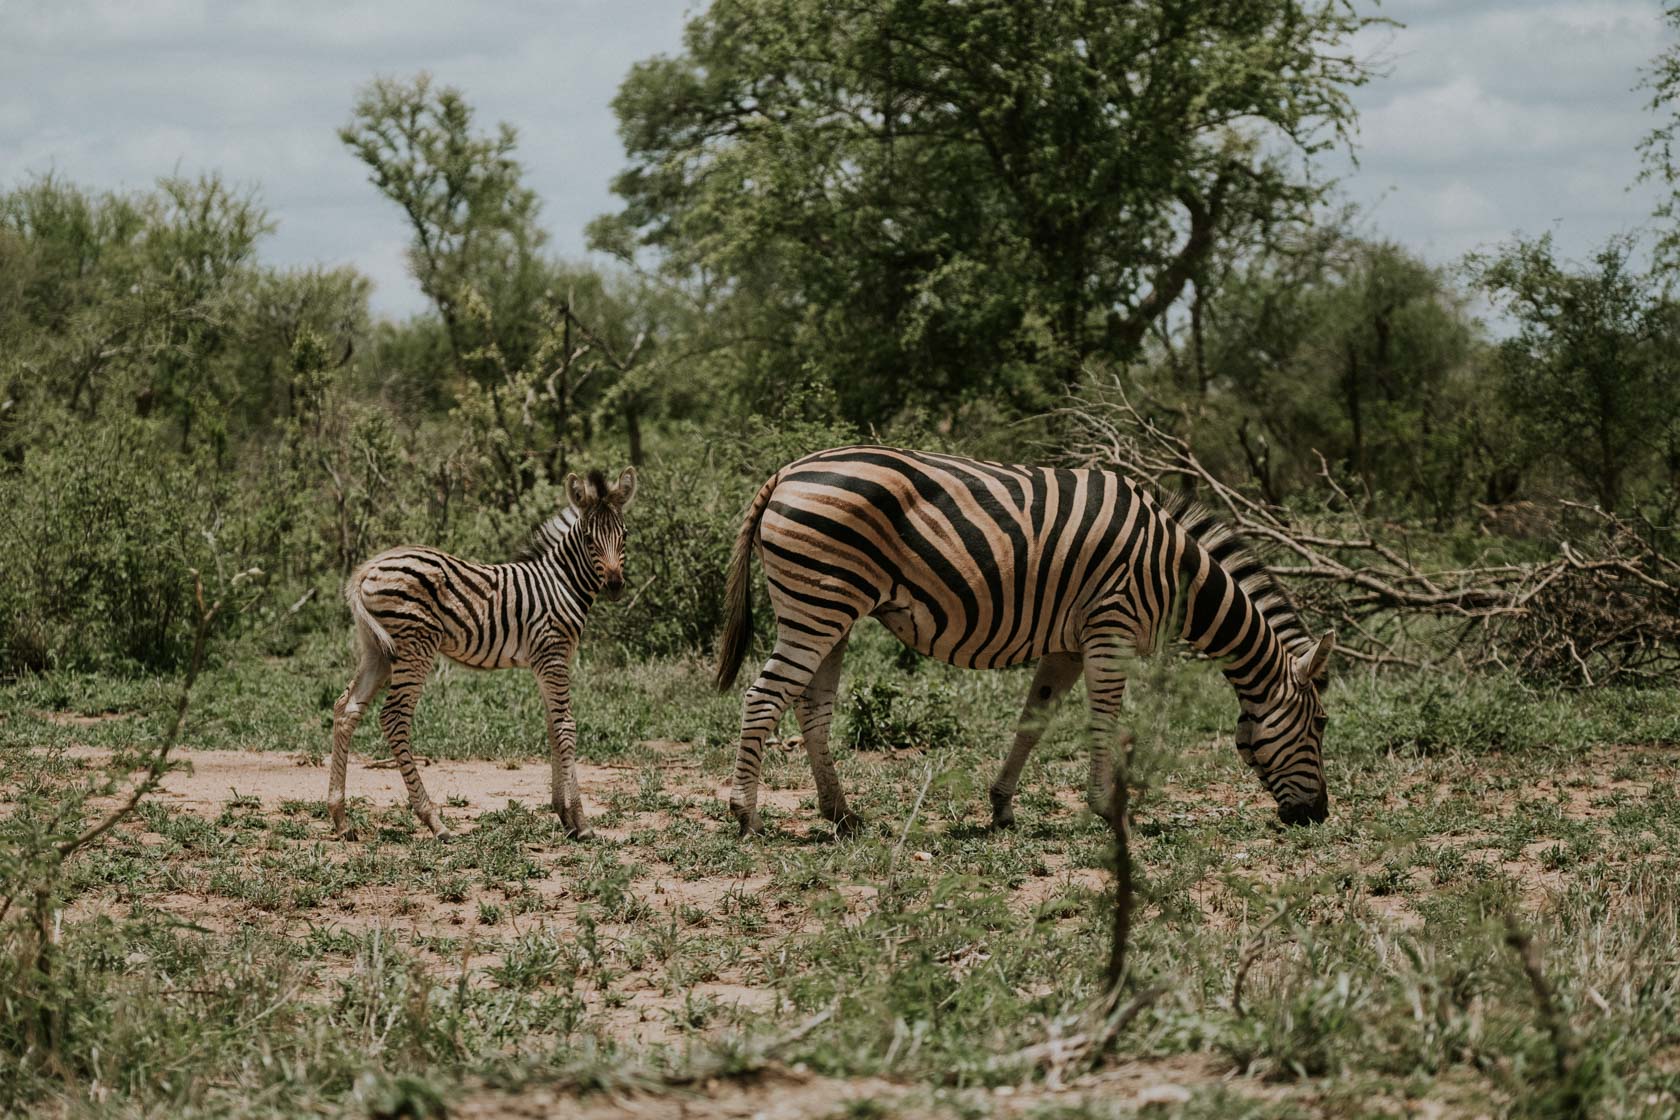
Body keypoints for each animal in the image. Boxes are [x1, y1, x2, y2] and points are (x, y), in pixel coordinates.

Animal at [327, 463, 635, 839]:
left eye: (624, 536)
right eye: (590, 539)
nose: (616, 586)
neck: (560, 583)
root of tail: (366, 570)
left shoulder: (543, 661)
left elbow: (551, 726)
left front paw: (562, 813)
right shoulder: (553, 654)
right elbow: (565, 727)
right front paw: (580, 821)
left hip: (378, 649)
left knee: (346, 709)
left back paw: (340, 818)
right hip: (416, 645)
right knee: (394, 717)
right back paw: (435, 821)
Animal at [715, 446, 1330, 839]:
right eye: (1322, 725)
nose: (1318, 816)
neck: (1177, 573)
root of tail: (788, 470)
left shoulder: (1069, 644)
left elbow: (1034, 721)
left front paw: (1002, 809)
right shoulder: (1111, 626)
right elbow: (1102, 721)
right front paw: (1107, 810)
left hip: (832, 612)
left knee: (811, 707)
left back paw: (841, 814)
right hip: (818, 607)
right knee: (763, 698)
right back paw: (746, 816)